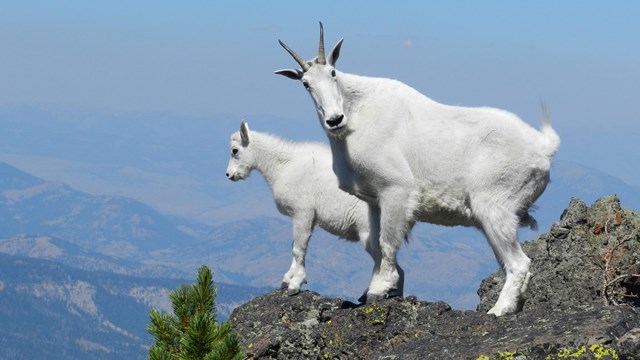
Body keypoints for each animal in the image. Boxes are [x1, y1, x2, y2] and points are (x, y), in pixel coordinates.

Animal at [228, 122, 402, 296]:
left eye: (234, 150)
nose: (229, 175)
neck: (282, 167)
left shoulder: (302, 212)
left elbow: (298, 249)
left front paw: (295, 284)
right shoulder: (306, 218)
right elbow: (295, 245)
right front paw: (287, 279)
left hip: (367, 230)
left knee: (383, 259)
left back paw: (375, 292)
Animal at [276, 23, 560, 316]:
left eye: (333, 73)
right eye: (306, 84)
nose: (334, 119)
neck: (356, 118)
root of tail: (543, 147)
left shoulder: (395, 189)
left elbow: (388, 241)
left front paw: (380, 289)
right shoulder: (374, 200)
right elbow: (376, 243)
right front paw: (374, 289)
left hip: (494, 206)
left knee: (518, 263)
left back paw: (498, 310)